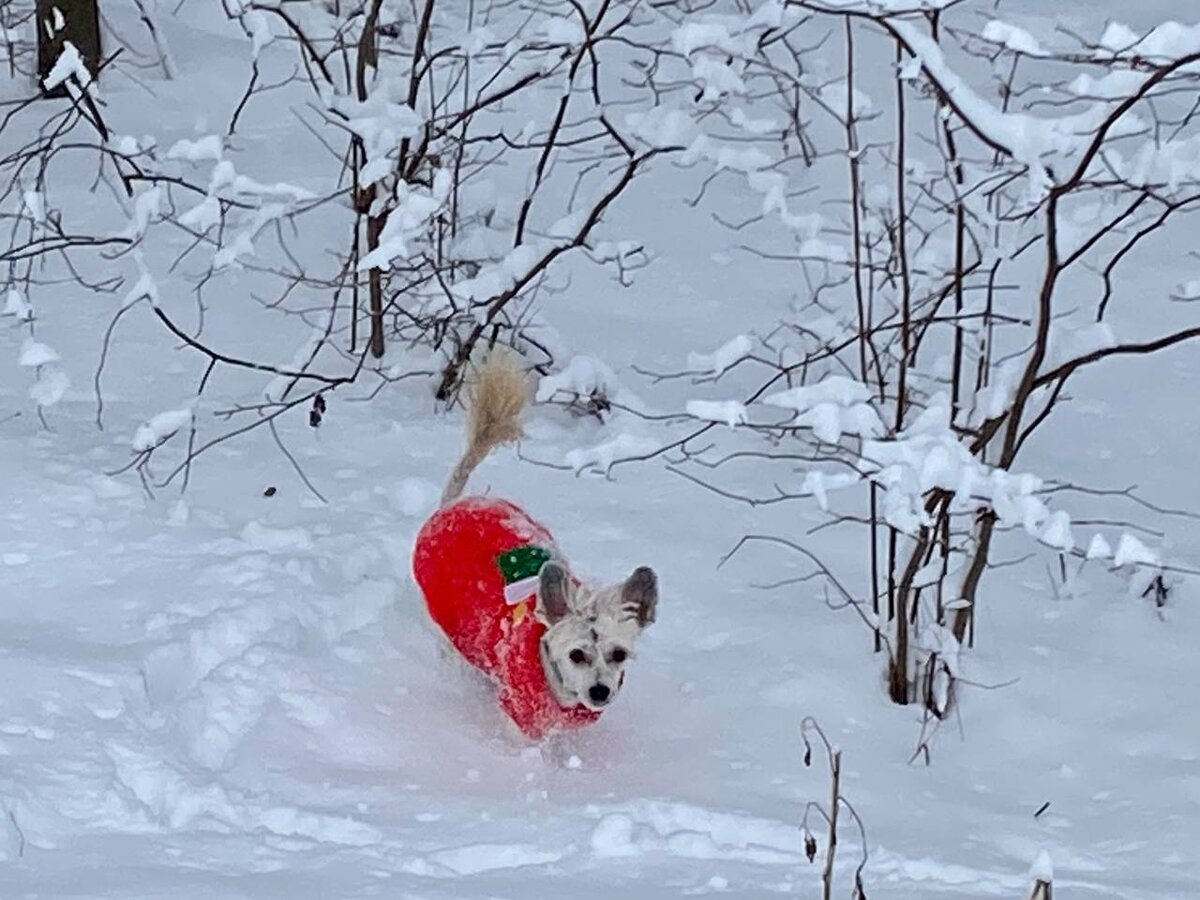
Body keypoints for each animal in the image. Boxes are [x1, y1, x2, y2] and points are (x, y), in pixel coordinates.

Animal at [410, 352, 657, 739]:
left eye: (618, 654)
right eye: (576, 655)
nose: (599, 692)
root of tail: (456, 503)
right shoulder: (519, 715)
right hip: (444, 622)